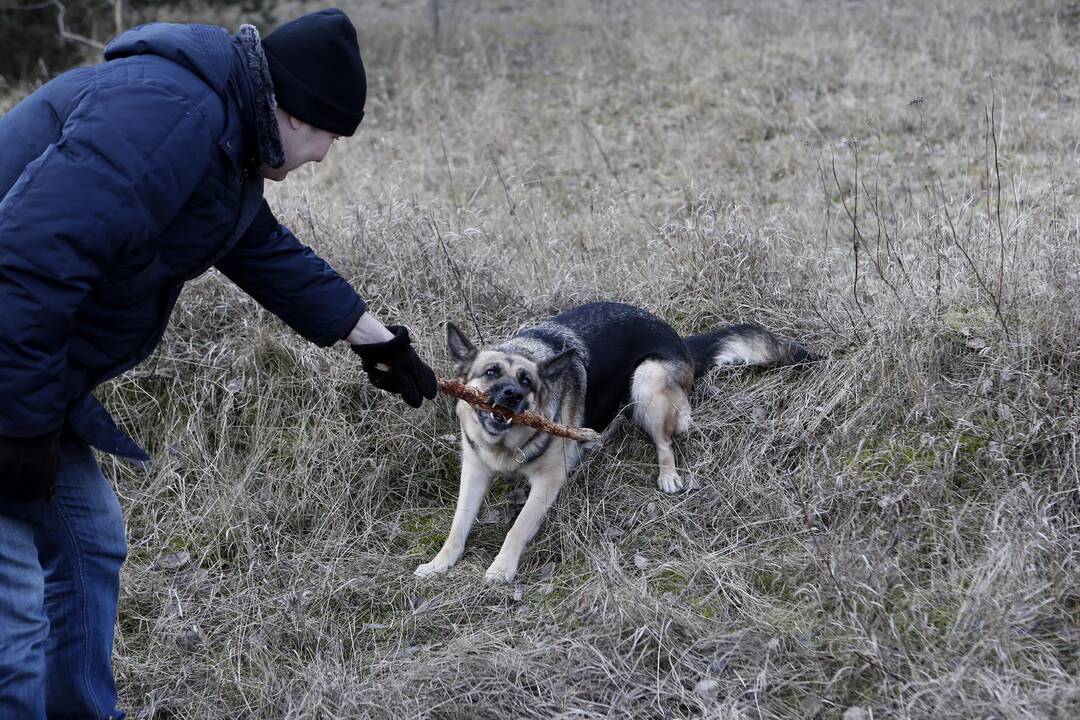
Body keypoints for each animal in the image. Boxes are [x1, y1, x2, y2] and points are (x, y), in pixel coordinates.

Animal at [414, 302, 816, 582]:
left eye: (527, 382)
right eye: (491, 372)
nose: (512, 396)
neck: (504, 449)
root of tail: (678, 340)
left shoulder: (548, 482)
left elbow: (518, 527)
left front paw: (502, 568)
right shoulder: (475, 473)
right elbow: (458, 525)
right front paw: (440, 563)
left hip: (647, 381)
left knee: (665, 442)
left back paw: (668, 475)